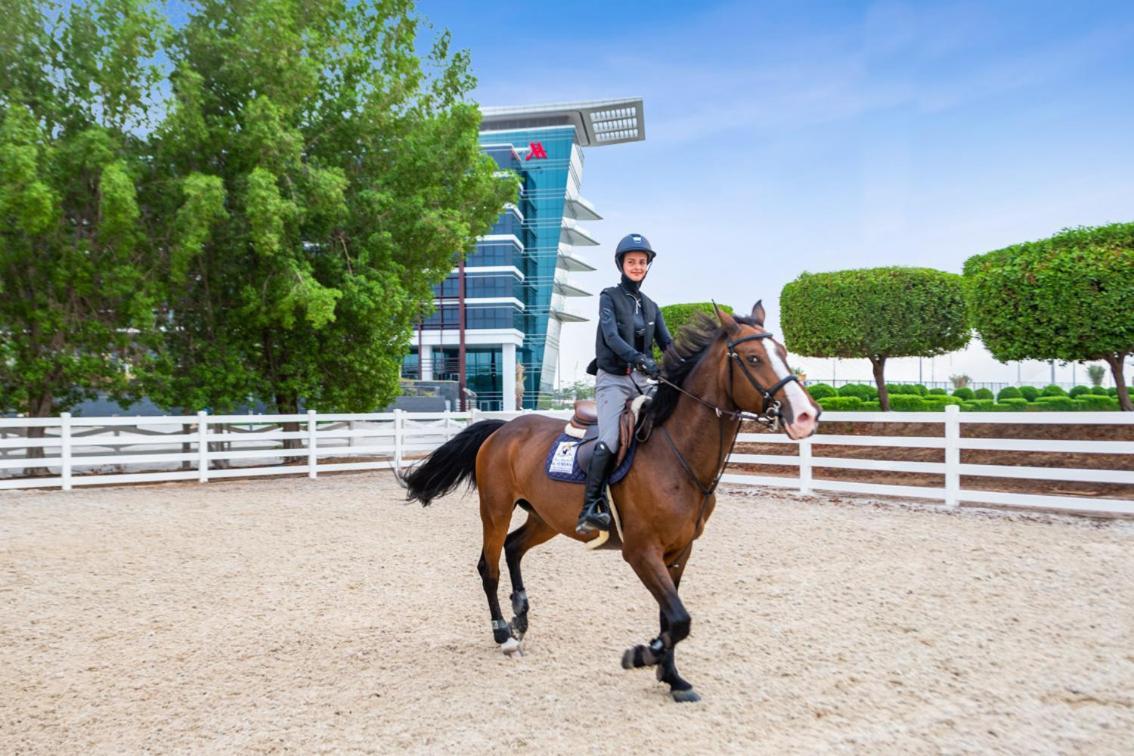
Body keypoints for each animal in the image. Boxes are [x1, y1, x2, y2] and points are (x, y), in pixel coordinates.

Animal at [403, 301, 821, 702]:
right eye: (752, 358)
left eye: (783, 353)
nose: (806, 415)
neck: (675, 453)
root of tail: (503, 429)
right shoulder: (641, 552)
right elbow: (679, 619)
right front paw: (644, 655)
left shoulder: (679, 551)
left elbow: (671, 618)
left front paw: (672, 677)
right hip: (496, 511)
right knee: (488, 567)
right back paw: (504, 634)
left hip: (546, 519)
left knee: (514, 547)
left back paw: (521, 615)